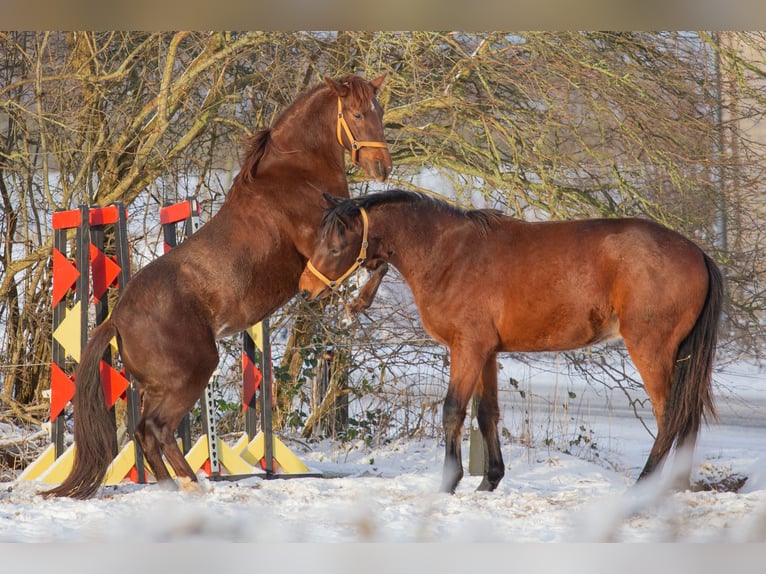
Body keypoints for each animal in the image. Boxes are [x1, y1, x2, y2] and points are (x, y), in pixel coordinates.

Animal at [46, 75, 396, 500]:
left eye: (379, 111)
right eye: (358, 114)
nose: (383, 167)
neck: (298, 176)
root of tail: (116, 319)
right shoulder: (328, 247)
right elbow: (377, 254)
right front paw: (356, 305)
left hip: (159, 386)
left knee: (144, 432)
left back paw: (173, 486)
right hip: (191, 374)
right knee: (158, 429)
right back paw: (190, 484)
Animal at [302, 192, 728, 496]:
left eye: (335, 247)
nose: (306, 291)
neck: (448, 255)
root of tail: (697, 253)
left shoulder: (467, 348)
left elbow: (452, 411)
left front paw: (449, 482)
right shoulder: (487, 353)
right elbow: (486, 414)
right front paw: (489, 480)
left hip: (651, 351)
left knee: (670, 417)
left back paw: (647, 486)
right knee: (686, 418)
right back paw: (676, 487)